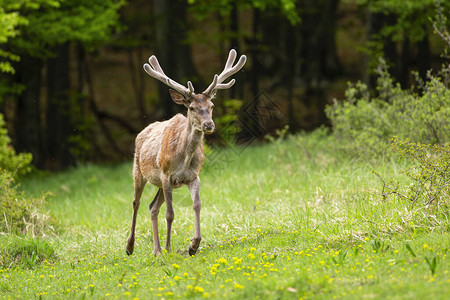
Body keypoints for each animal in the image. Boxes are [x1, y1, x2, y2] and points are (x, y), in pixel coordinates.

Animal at [125, 48, 246, 255]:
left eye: (211, 106)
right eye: (191, 107)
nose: (208, 125)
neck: (184, 158)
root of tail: (141, 132)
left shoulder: (193, 176)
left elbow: (197, 205)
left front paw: (193, 245)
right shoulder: (166, 175)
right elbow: (170, 214)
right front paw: (169, 247)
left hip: (160, 183)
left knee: (152, 207)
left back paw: (157, 250)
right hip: (139, 171)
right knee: (136, 203)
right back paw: (130, 246)